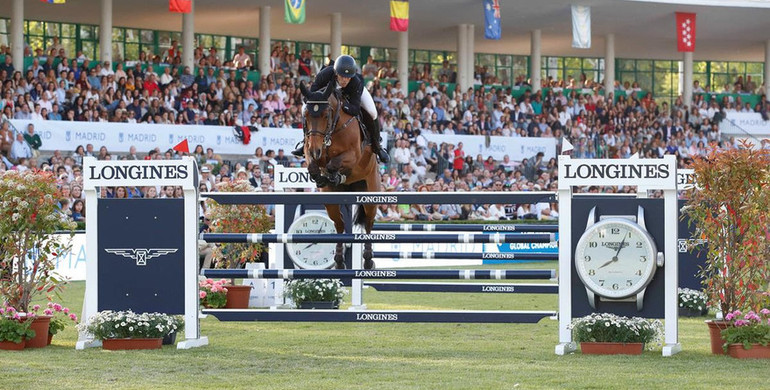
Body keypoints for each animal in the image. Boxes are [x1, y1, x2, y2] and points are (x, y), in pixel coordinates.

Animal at [300, 79, 380, 268]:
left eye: (325, 115)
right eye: (306, 115)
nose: (316, 151)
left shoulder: (352, 155)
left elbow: (333, 164)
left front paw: (335, 175)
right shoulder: (310, 148)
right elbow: (313, 166)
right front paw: (321, 177)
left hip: (370, 192)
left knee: (368, 222)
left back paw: (368, 260)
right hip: (331, 203)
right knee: (339, 224)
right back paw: (338, 260)